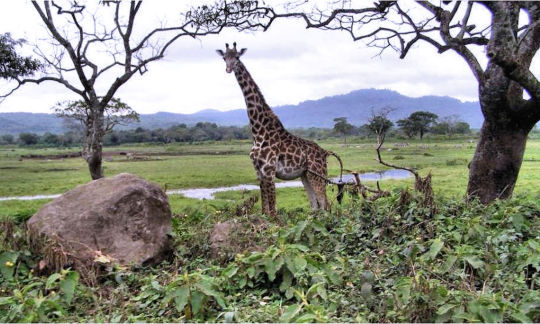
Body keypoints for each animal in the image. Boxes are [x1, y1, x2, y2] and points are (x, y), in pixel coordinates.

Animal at [215, 41, 342, 221]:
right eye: (224, 58)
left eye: (237, 57)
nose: (228, 68)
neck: (258, 131)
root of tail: (324, 152)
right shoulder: (259, 170)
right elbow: (264, 209)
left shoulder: (269, 170)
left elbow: (273, 211)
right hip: (305, 175)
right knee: (315, 206)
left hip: (317, 174)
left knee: (325, 205)